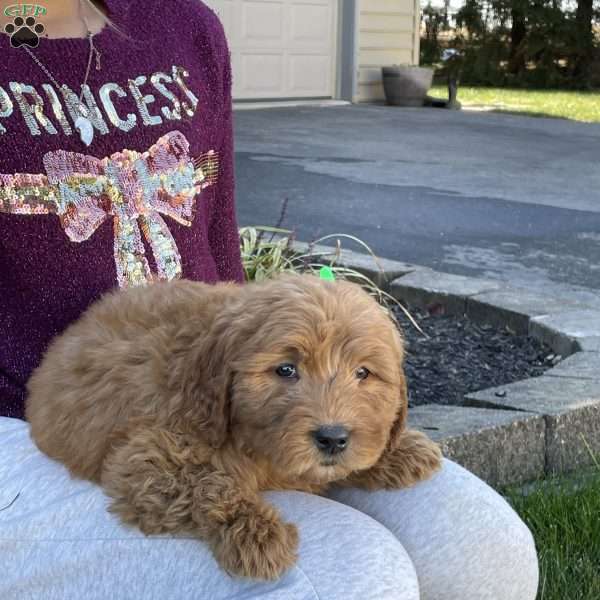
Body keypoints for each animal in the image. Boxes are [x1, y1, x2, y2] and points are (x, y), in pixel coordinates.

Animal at [27, 274, 440, 580]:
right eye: (286, 369)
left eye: (363, 373)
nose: (333, 438)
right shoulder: (144, 455)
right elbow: (206, 481)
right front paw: (257, 533)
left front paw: (403, 450)